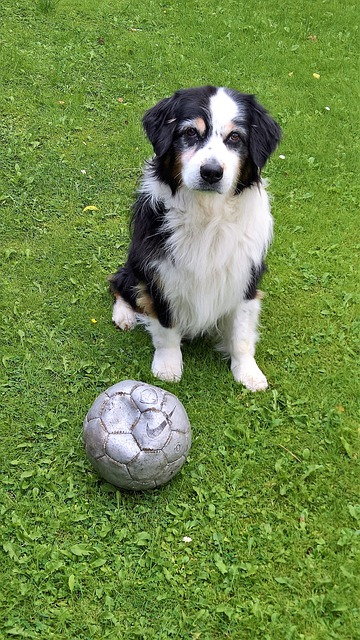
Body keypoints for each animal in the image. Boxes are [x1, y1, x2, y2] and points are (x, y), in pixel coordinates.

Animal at [109, 85, 282, 390]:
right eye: (190, 132)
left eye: (235, 137)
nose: (211, 172)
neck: (207, 214)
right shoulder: (160, 273)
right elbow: (166, 325)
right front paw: (167, 367)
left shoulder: (246, 275)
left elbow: (241, 332)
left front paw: (248, 372)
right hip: (135, 263)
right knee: (119, 282)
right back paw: (124, 315)